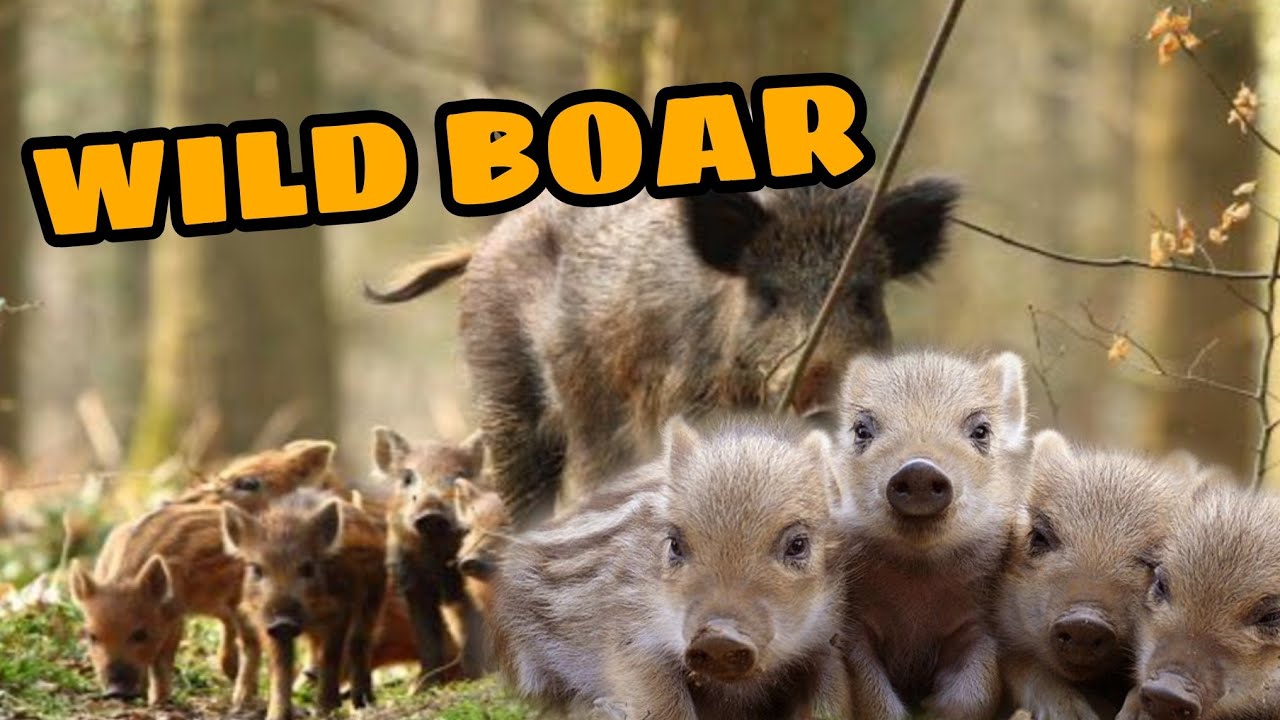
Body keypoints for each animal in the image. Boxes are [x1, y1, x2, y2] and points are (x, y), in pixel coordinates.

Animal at [68, 503, 259, 709]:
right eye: (92, 636)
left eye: (140, 634)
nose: (116, 692)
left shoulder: (174, 615)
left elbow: (161, 660)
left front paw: (157, 702)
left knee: (250, 645)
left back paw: (241, 700)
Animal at [220, 488, 386, 720]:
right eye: (256, 569)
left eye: (307, 568)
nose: (283, 622)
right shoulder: (265, 622)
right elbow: (280, 667)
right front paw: (275, 715)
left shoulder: (339, 611)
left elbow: (331, 657)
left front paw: (325, 711)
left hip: (373, 598)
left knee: (360, 642)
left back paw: (362, 702)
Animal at [370, 426, 490, 688]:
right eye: (407, 478)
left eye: (458, 476)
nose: (431, 512)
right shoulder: (412, 585)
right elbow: (426, 637)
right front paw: (422, 687)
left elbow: (472, 628)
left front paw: (475, 678)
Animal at [491, 414, 851, 720]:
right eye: (675, 543)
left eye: (798, 544)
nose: (718, 638)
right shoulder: (632, 636)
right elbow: (664, 705)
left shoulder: (827, 643)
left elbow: (830, 705)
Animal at [833, 349, 1029, 720]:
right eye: (862, 430)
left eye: (981, 431)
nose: (919, 469)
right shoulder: (853, 628)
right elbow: (874, 700)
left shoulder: (979, 626)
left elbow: (975, 694)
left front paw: (932, 708)